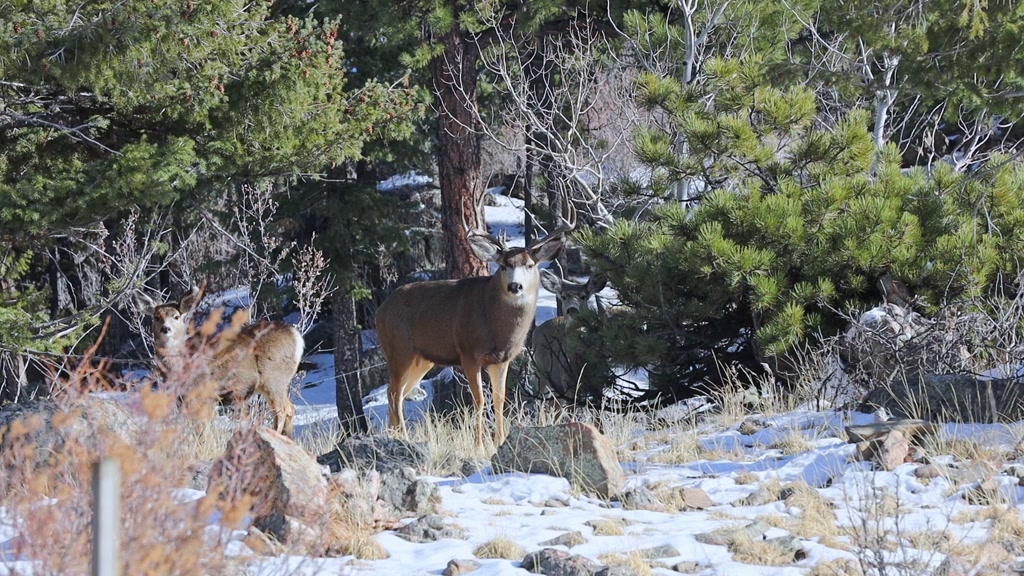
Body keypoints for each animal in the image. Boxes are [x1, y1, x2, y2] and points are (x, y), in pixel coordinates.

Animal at [138, 287, 303, 437]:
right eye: (156, 317)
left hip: (273, 378)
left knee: (282, 410)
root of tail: (296, 335)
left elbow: (201, 431)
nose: (165, 328)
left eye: (176, 316)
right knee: (291, 408)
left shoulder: (204, 395)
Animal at [376, 204, 574, 447]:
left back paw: (393, 434)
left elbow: (500, 400)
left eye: (529, 265)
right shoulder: (469, 353)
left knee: (397, 392)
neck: (496, 327)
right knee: (394, 393)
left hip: (421, 360)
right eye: (503, 265)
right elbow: (479, 400)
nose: (515, 286)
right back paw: (402, 436)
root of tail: (380, 311)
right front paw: (479, 444)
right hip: (399, 348)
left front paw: (499, 440)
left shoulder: (501, 359)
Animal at [533, 270, 608, 408]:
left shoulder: (599, 383)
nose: (572, 309)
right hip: (543, 375)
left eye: (583, 296)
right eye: (563, 297)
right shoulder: (568, 383)